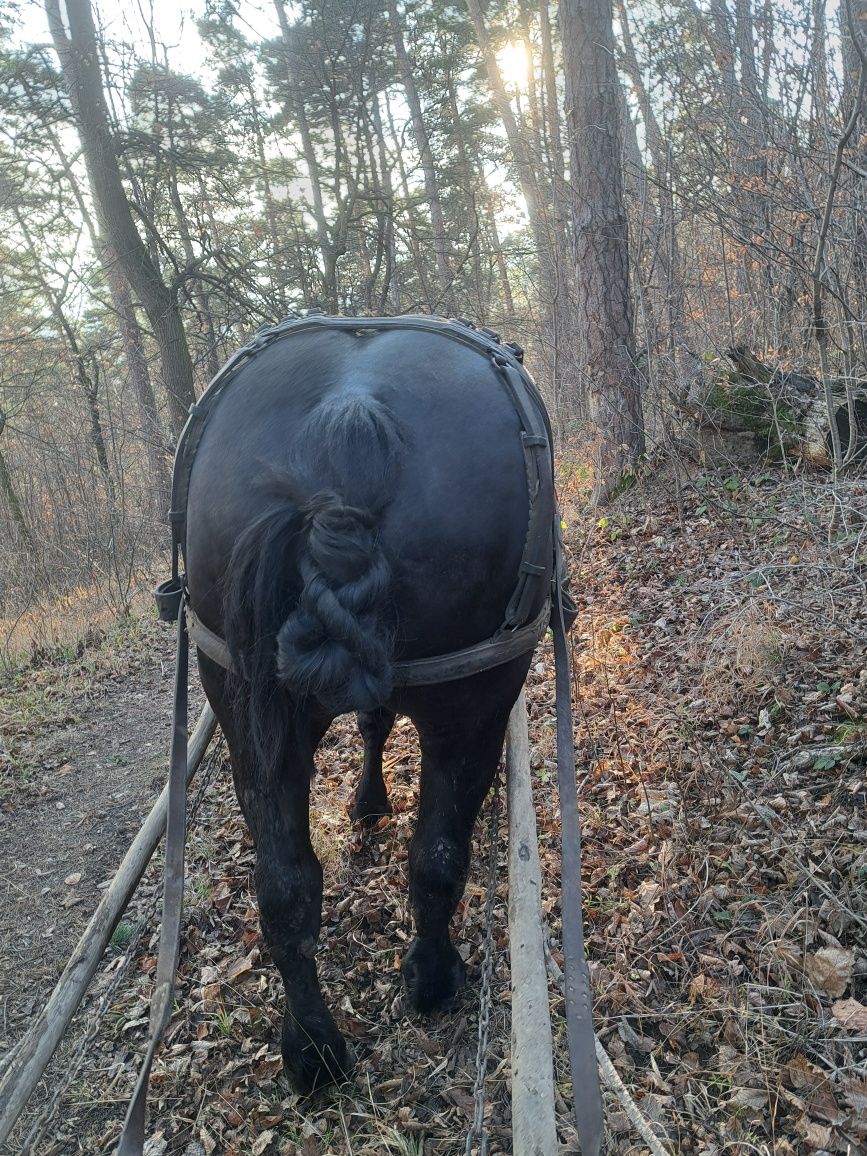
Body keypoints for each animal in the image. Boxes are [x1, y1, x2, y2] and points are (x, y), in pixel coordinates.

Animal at [183, 316, 557, 1091]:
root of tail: (346, 422)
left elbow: (372, 722)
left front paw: (365, 803)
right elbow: (383, 732)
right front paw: (370, 804)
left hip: (246, 711)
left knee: (285, 887)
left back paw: (312, 1049)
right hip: (473, 705)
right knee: (439, 855)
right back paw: (433, 979)